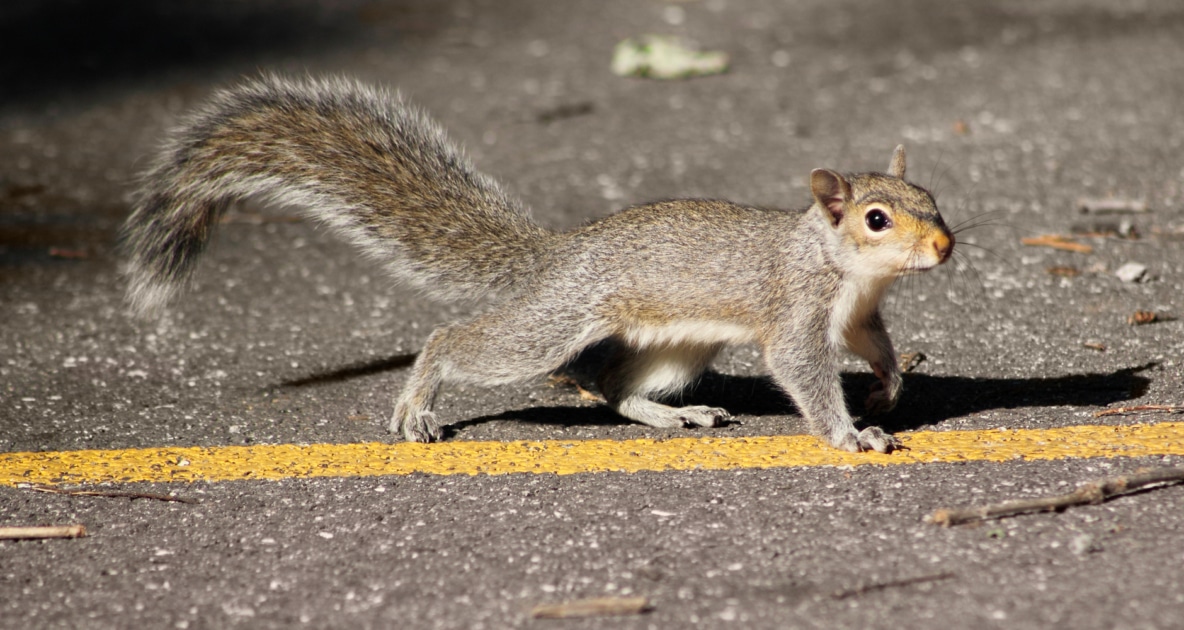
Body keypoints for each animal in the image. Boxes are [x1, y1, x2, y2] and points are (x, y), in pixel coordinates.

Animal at [122, 75, 951, 452]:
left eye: (933, 199)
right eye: (877, 219)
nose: (944, 247)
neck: (838, 262)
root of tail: (559, 253)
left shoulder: (862, 313)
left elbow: (875, 349)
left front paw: (889, 387)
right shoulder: (795, 311)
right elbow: (804, 372)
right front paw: (852, 435)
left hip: (677, 348)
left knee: (612, 387)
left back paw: (673, 411)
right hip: (555, 325)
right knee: (461, 342)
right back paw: (419, 400)